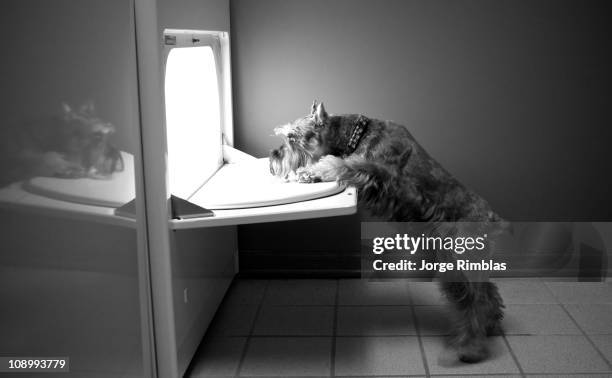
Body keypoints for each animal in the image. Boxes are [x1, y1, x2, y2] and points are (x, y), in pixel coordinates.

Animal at [270, 100, 504, 364]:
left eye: (292, 137)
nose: (273, 158)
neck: (357, 134)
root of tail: (492, 218)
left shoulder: (376, 170)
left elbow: (340, 163)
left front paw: (313, 171)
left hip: (458, 263)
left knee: (475, 302)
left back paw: (470, 348)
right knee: (486, 294)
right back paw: (491, 323)